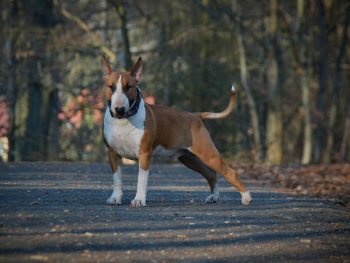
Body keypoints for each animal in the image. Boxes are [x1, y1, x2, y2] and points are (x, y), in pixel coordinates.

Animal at [101, 56, 252, 207]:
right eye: (111, 87)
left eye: (128, 87)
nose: (119, 109)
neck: (124, 120)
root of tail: (196, 116)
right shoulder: (112, 153)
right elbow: (117, 179)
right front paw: (115, 198)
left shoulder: (144, 154)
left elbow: (141, 181)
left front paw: (138, 200)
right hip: (188, 158)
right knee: (211, 174)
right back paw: (214, 197)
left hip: (208, 155)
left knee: (230, 173)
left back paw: (246, 197)